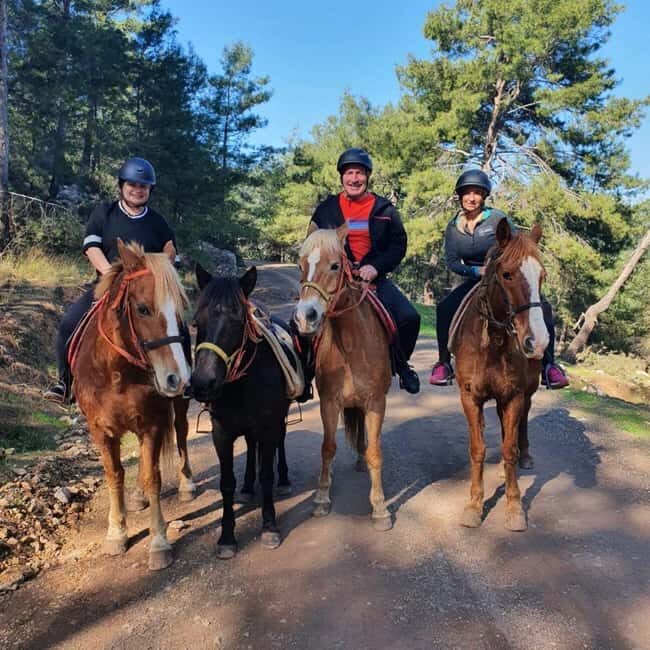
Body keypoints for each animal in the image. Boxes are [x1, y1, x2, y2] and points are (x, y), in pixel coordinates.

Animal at [72, 240, 192, 570]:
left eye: (180, 309)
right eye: (143, 309)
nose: (176, 378)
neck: (116, 372)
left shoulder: (151, 424)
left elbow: (153, 477)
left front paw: (159, 542)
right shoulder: (101, 431)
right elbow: (115, 476)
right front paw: (116, 533)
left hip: (177, 409)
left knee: (181, 434)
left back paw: (186, 485)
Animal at [190, 265, 291, 558]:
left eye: (237, 322)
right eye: (196, 322)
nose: (203, 383)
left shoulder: (268, 427)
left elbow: (267, 475)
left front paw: (269, 527)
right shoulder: (221, 433)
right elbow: (226, 482)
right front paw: (226, 537)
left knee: (280, 442)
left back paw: (284, 479)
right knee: (250, 444)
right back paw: (247, 486)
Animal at [293, 225, 393, 531]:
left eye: (335, 265)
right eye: (301, 266)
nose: (305, 317)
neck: (351, 343)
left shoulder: (375, 403)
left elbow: (375, 453)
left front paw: (380, 508)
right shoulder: (329, 402)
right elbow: (327, 448)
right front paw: (321, 498)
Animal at [451, 219, 548, 532]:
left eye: (542, 276)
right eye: (507, 274)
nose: (537, 342)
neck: (493, 342)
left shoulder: (515, 395)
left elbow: (509, 451)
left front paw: (514, 507)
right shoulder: (471, 397)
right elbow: (478, 448)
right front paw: (473, 505)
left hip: (527, 392)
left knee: (522, 425)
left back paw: (525, 457)